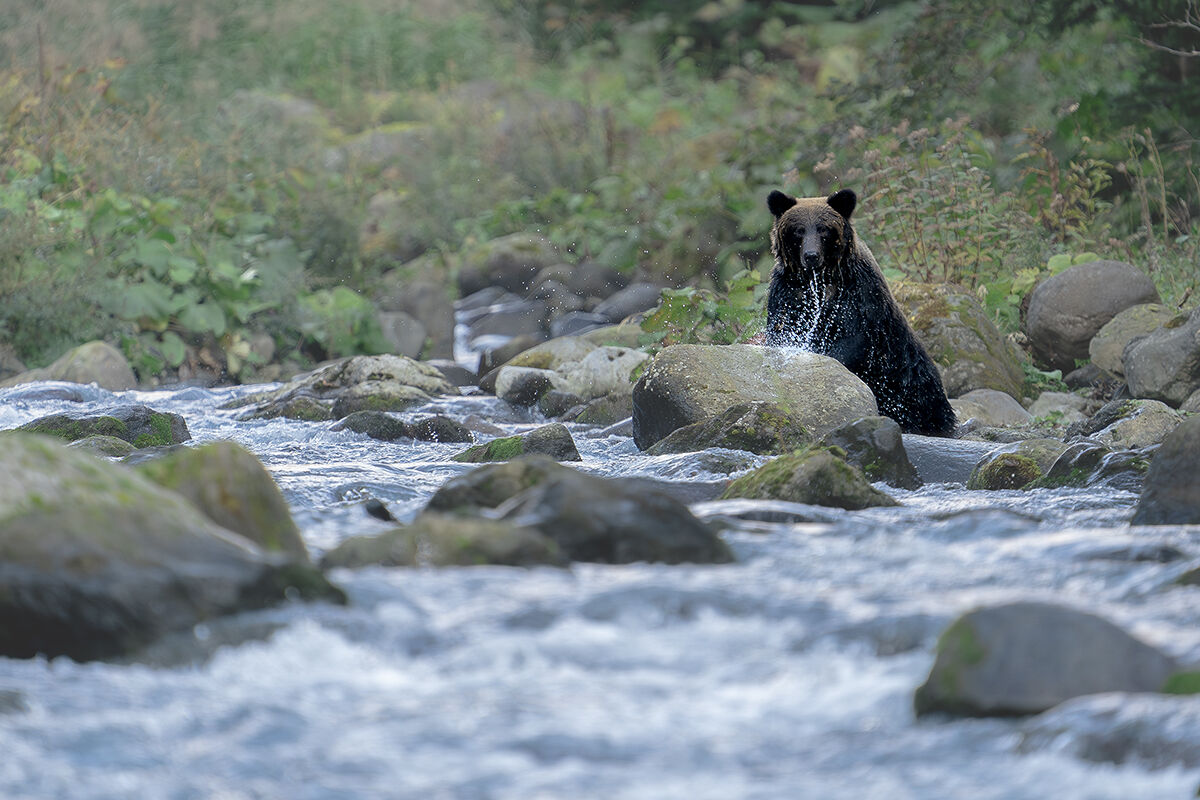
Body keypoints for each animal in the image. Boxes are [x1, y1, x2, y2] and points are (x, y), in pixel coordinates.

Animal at [764, 188, 957, 436]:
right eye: (798, 230)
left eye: (823, 229)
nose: (811, 255)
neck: (819, 281)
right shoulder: (787, 294)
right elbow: (782, 330)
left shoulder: (858, 295)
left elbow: (852, 338)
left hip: (908, 377)